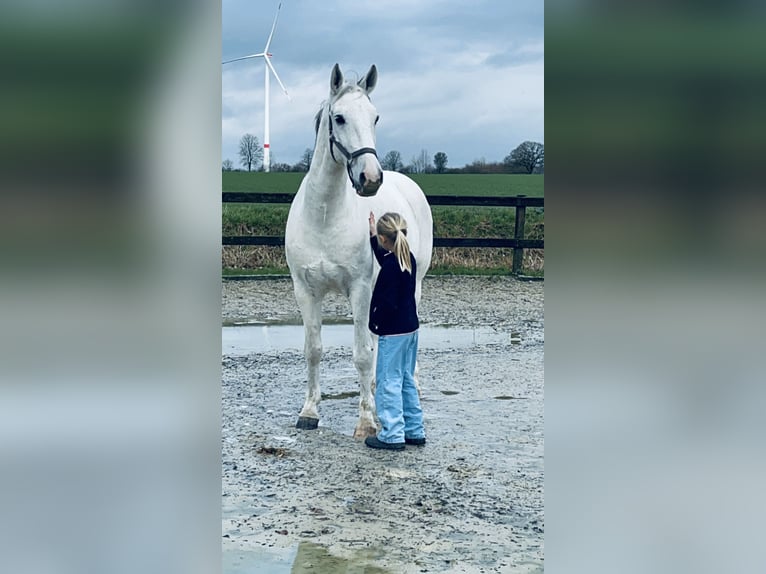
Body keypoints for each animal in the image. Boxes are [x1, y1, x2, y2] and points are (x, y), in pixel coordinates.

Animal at [286, 64, 436, 440]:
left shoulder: (360, 289)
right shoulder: (305, 291)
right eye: (339, 118)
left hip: (411, 286)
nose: (371, 178)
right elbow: (313, 350)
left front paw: (366, 420)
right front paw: (309, 412)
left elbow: (363, 355)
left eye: (375, 117)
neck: (325, 216)